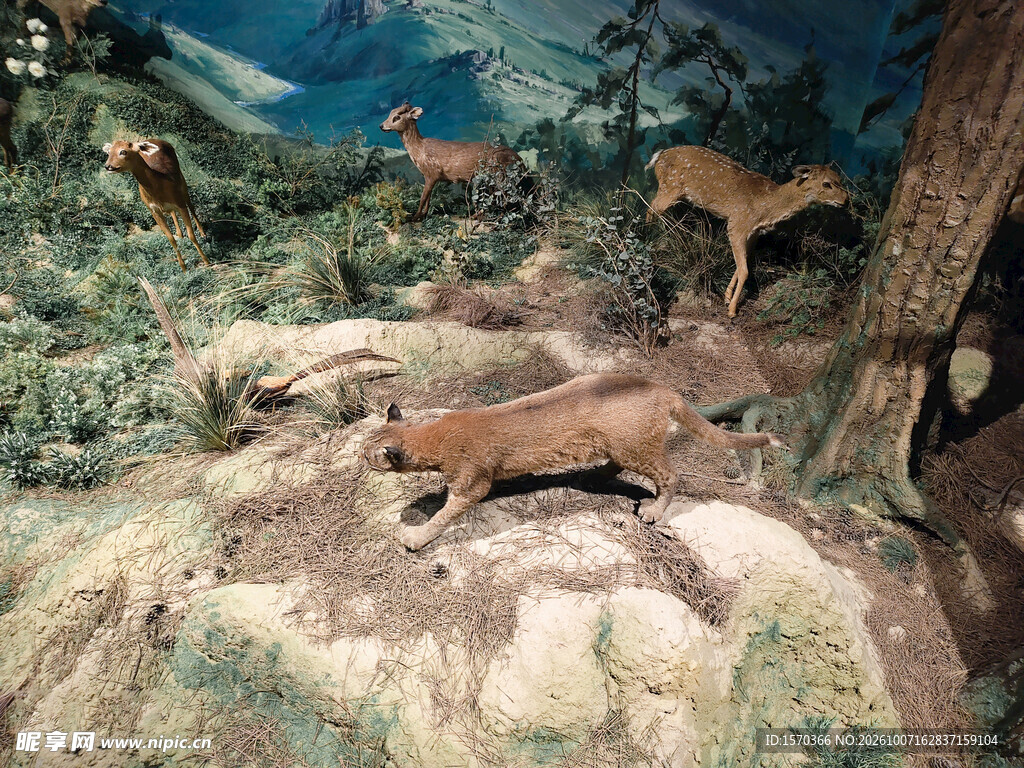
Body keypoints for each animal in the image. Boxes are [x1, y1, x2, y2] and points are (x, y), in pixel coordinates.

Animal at [103, 139, 208, 272]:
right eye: (109, 152)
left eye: (123, 151)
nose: (108, 166)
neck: (159, 186)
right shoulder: (153, 210)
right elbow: (170, 239)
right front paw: (183, 268)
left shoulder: (180, 203)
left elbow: (191, 235)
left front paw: (206, 261)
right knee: (172, 212)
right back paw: (180, 235)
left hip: (182, 182)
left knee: (191, 205)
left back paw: (202, 233)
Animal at [380, 102, 525, 221]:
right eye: (390, 112)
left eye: (397, 117)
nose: (381, 125)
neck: (420, 149)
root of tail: (520, 161)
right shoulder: (431, 177)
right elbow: (428, 198)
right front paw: (424, 215)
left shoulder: (432, 173)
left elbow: (422, 198)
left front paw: (414, 217)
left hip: (499, 175)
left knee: (506, 199)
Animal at [646, 145, 850, 317]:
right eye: (826, 184)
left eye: (840, 179)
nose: (846, 200)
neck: (765, 207)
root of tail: (659, 156)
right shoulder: (737, 224)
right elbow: (744, 269)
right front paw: (732, 310)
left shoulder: (754, 233)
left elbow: (742, 265)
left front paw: (727, 296)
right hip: (670, 188)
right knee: (651, 208)